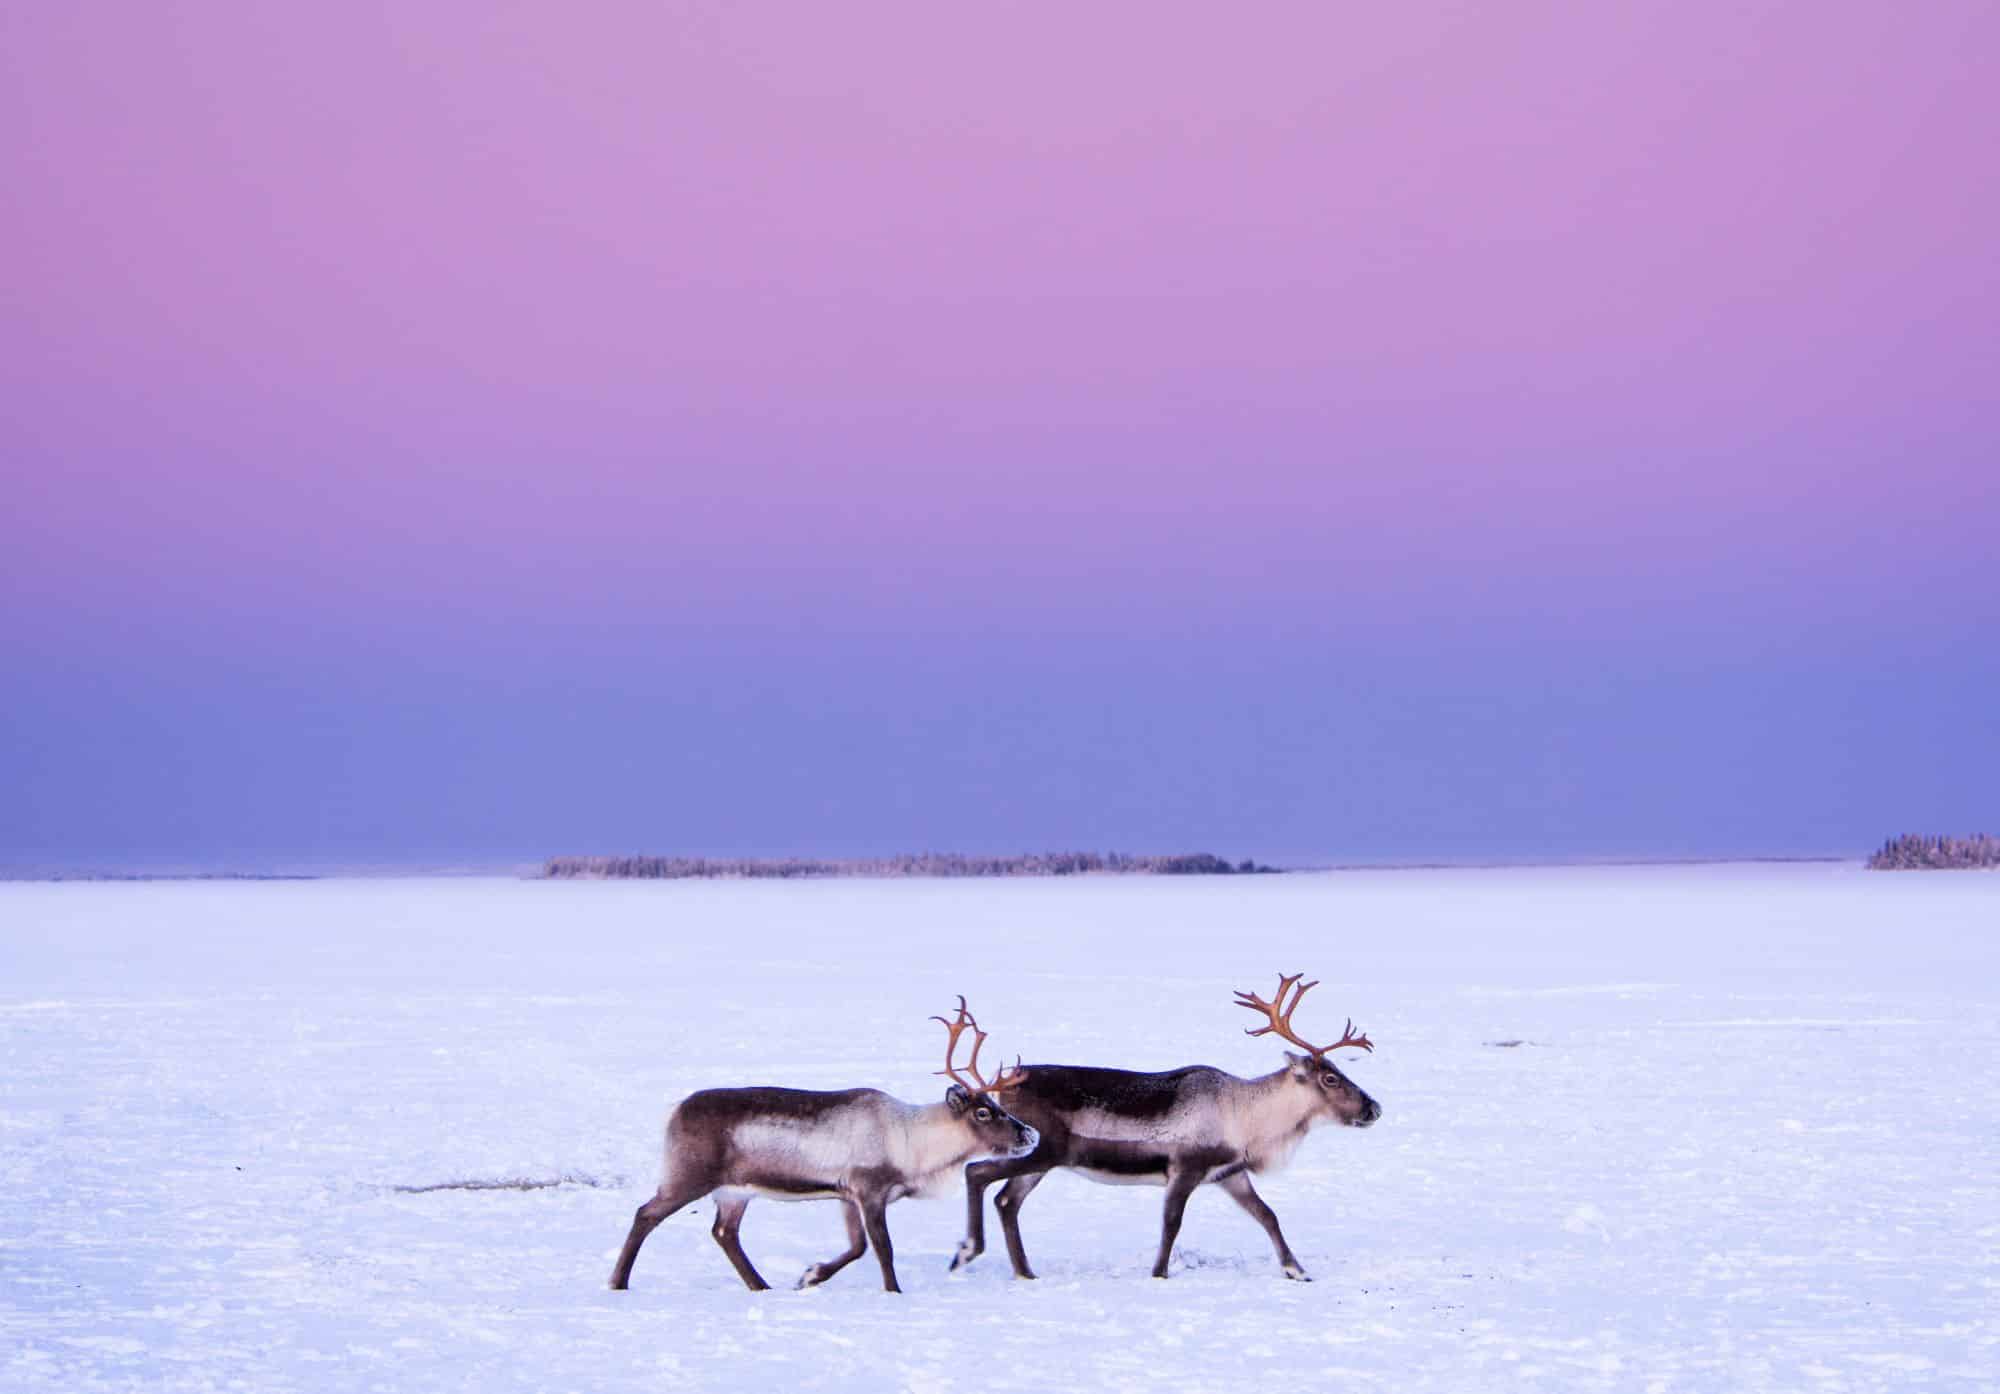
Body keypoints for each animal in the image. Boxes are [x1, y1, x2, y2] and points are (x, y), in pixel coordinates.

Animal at [608, 997, 1038, 1294]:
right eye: (983, 1112)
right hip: (689, 1174)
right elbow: (882, 1248)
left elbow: (857, 1247)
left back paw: (762, 1286)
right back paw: (617, 1281)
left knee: (724, 1232)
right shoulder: (868, 1188)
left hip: (735, 1191)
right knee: (646, 1214)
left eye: (999, 1106)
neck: (913, 1145)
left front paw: (810, 1276)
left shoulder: (846, 1194)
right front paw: (893, 1291)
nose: (1029, 1134)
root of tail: (674, 1111)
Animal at [950, 973, 1380, 1282]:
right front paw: (1158, 1275)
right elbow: (1171, 1225)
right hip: (1041, 1149)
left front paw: (1297, 1270)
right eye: (1330, 1079)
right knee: (977, 1173)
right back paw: (966, 1251)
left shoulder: (1230, 1173)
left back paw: (1025, 1272)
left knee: (1007, 1201)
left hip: (1042, 1161)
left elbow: (1267, 1215)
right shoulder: (1184, 1169)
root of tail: (1001, 1086)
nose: (1374, 1107)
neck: (1248, 1119)